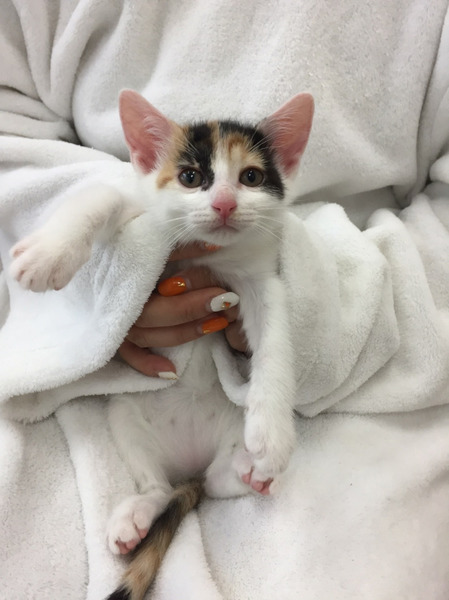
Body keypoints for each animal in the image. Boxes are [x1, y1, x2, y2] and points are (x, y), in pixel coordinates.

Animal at [9, 89, 314, 600]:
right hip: (125, 415)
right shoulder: (143, 211)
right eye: (191, 177)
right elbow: (104, 196)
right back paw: (136, 514)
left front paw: (273, 433)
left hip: (222, 436)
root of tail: (189, 461)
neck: (209, 254)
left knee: (212, 483)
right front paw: (49, 254)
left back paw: (247, 471)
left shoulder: (259, 277)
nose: (225, 204)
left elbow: (275, 337)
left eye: (250, 177)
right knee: (157, 485)